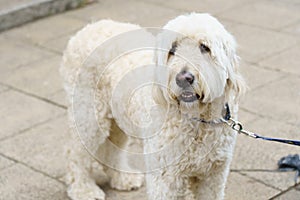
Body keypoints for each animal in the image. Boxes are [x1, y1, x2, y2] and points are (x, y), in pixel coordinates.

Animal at [61, 12, 246, 200]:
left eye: (204, 47)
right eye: (172, 50)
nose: (183, 78)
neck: (197, 120)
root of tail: (89, 28)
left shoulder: (213, 176)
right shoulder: (165, 178)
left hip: (119, 117)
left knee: (112, 149)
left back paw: (123, 178)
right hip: (88, 115)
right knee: (75, 153)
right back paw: (83, 189)